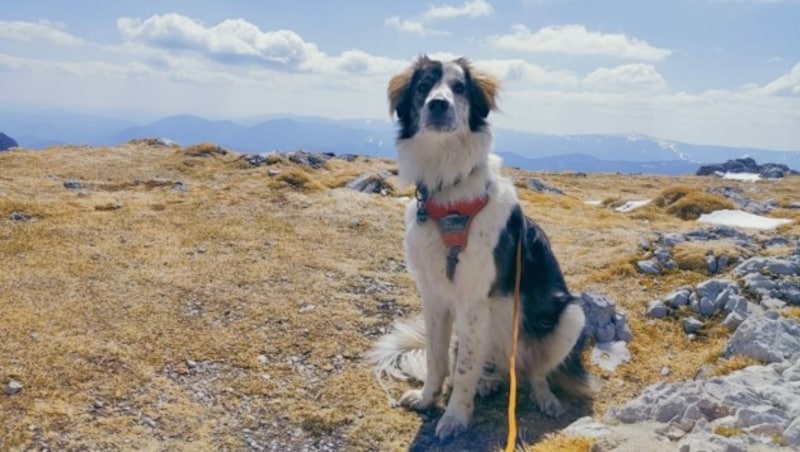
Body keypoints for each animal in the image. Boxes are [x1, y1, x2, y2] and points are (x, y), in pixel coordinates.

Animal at [368, 56, 592, 442]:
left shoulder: (472, 300)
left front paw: (455, 417)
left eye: (459, 88)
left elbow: (463, 369)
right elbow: (437, 358)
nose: (438, 105)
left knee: (535, 372)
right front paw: (427, 399)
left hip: (570, 317)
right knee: (496, 370)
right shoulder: (434, 296)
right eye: (424, 86)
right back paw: (489, 382)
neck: (447, 191)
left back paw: (544, 397)